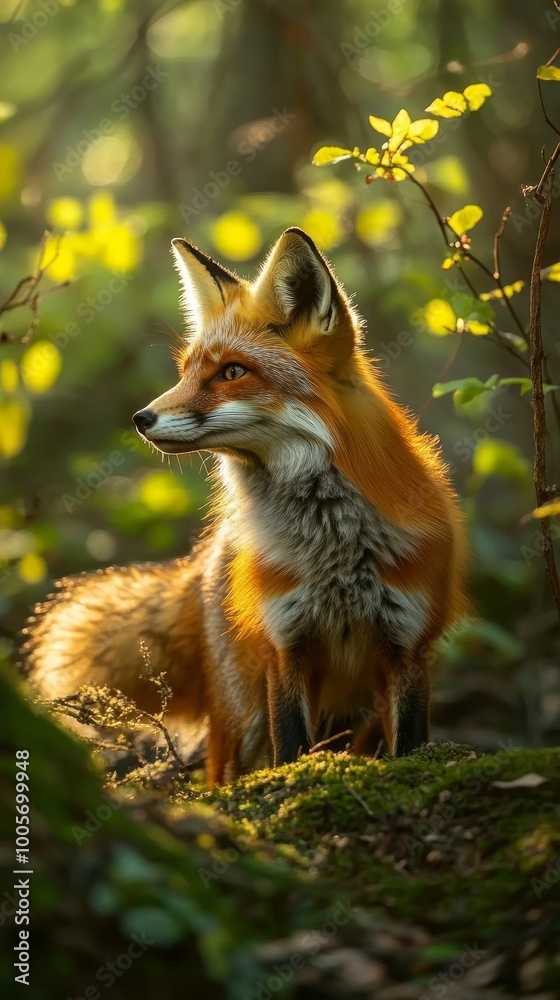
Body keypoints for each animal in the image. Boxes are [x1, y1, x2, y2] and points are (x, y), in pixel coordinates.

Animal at [24, 227, 469, 784]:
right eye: (186, 372)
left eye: (233, 371)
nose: (140, 418)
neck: (337, 552)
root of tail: (206, 559)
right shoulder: (287, 645)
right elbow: (292, 746)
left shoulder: (407, 647)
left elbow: (408, 744)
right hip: (243, 716)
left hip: (355, 715)